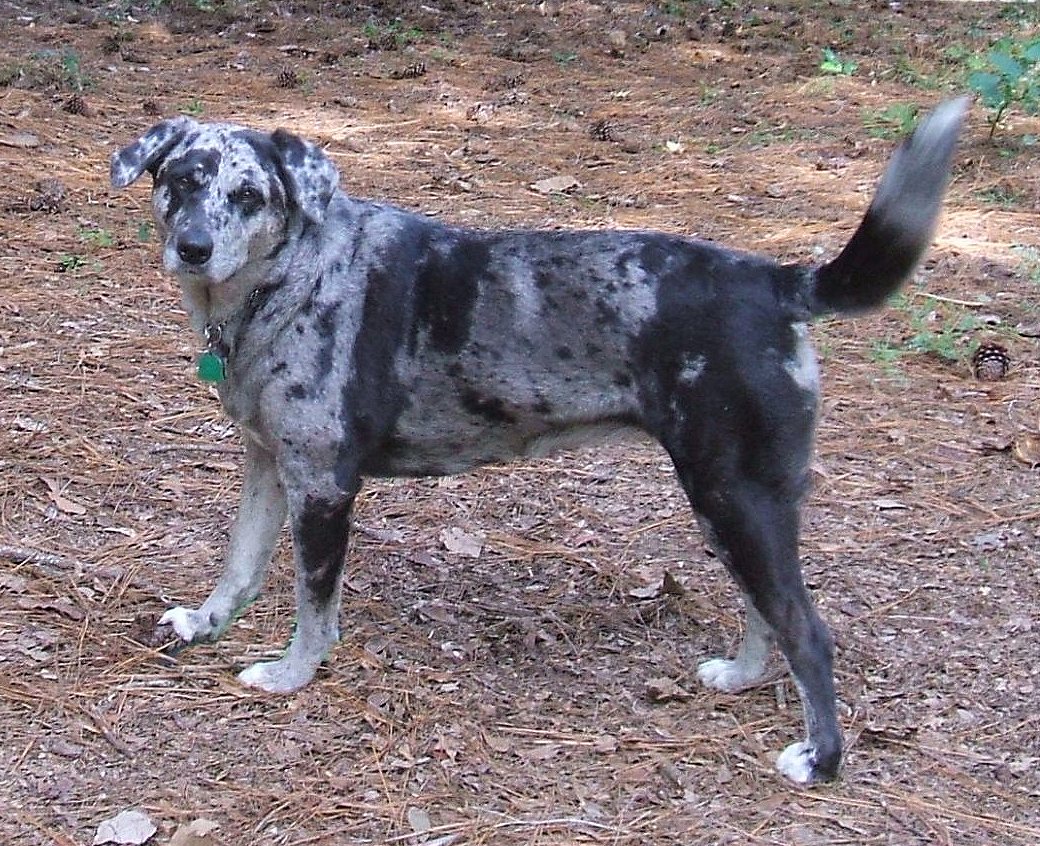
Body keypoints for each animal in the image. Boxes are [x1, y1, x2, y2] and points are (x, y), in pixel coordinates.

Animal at [111, 95, 965, 782]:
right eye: (181, 180)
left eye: (248, 195)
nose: (192, 246)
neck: (291, 277)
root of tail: (777, 281)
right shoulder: (266, 462)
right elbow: (238, 567)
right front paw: (202, 625)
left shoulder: (322, 485)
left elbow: (312, 606)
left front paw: (291, 675)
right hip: (730, 508)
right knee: (769, 614)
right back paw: (741, 675)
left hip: (735, 498)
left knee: (810, 632)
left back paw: (821, 759)